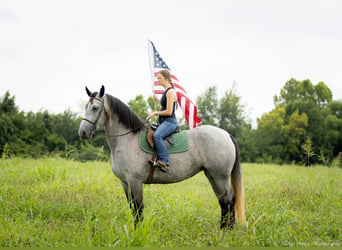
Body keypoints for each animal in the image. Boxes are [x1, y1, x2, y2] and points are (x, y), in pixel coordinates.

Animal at [78, 85, 246, 229]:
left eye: (95, 108)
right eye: (85, 107)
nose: (83, 132)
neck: (127, 139)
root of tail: (226, 134)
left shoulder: (135, 181)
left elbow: (138, 209)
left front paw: (138, 233)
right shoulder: (124, 182)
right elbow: (132, 208)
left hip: (220, 176)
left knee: (229, 200)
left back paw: (227, 231)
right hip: (212, 175)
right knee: (223, 201)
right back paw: (223, 229)